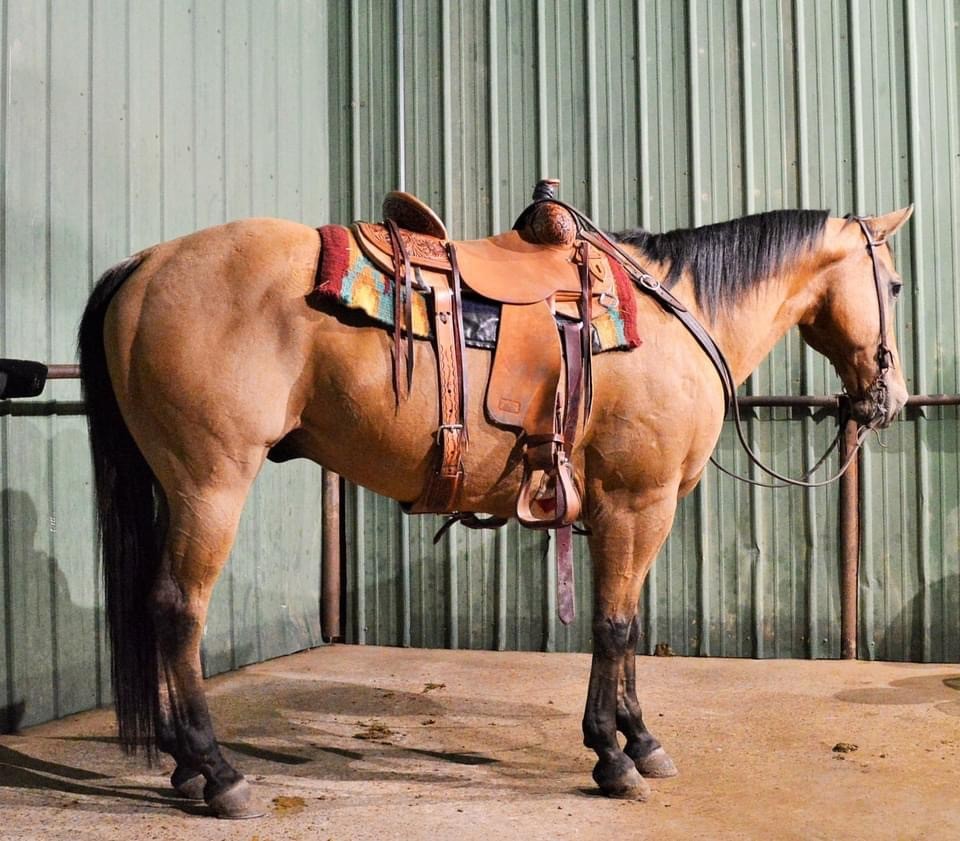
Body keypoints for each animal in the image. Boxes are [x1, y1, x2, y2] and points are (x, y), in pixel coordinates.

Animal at [79, 190, 912, 812]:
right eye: (897, 285)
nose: (892, 399)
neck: (678, 316)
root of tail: (146, 264)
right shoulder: (635, 503)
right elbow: (614, 625)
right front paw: (612, 756)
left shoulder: (634, 511)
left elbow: (630, 625)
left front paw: (641, 740)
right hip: (210, 483)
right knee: (178, 609)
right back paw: (218, 773)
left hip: (174, 485)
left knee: (157, 605)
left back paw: (185, 765)